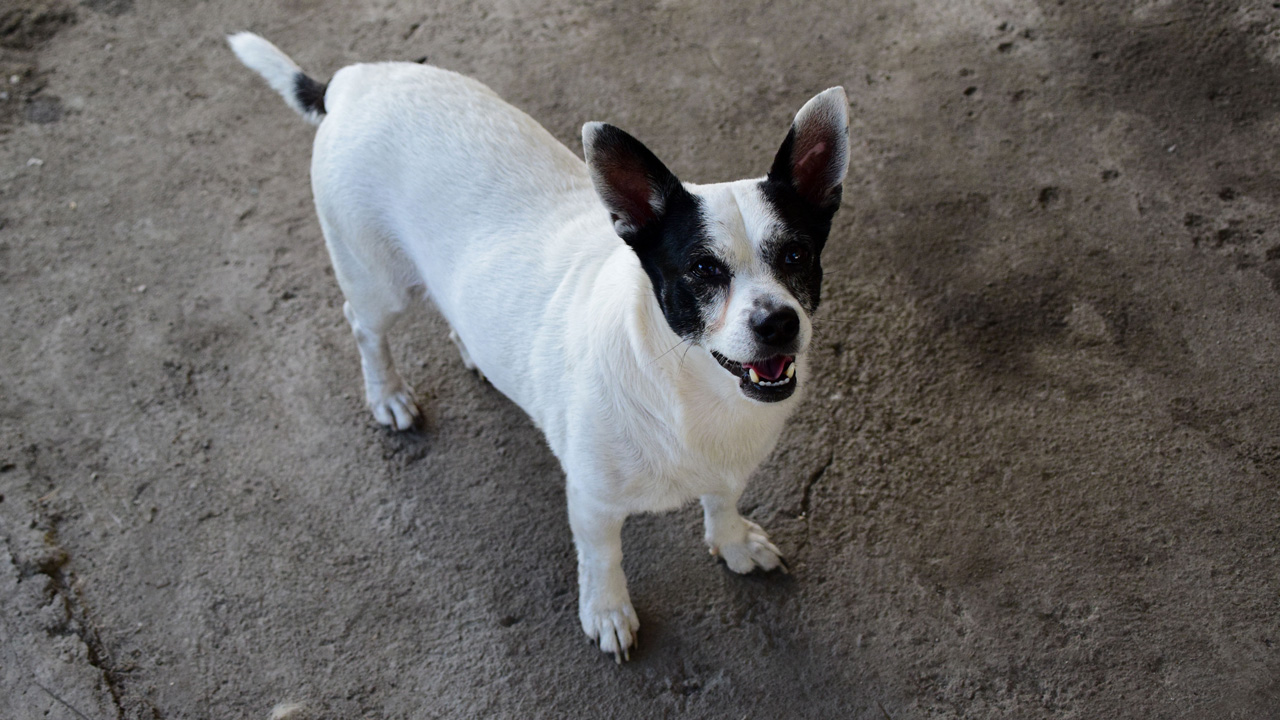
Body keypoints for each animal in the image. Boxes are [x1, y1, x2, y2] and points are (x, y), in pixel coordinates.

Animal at [230, 33, 849, 661]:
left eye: (796, 255)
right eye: (702, 270)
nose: (778, 322)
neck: (692, 389)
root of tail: (352, 80)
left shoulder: (729, 471)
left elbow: (722, 502)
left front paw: (733, 542)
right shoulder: (593, 503)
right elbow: (603, 559)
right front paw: (607, 611)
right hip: (378, 284)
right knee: (363, 325)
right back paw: (387, 394)